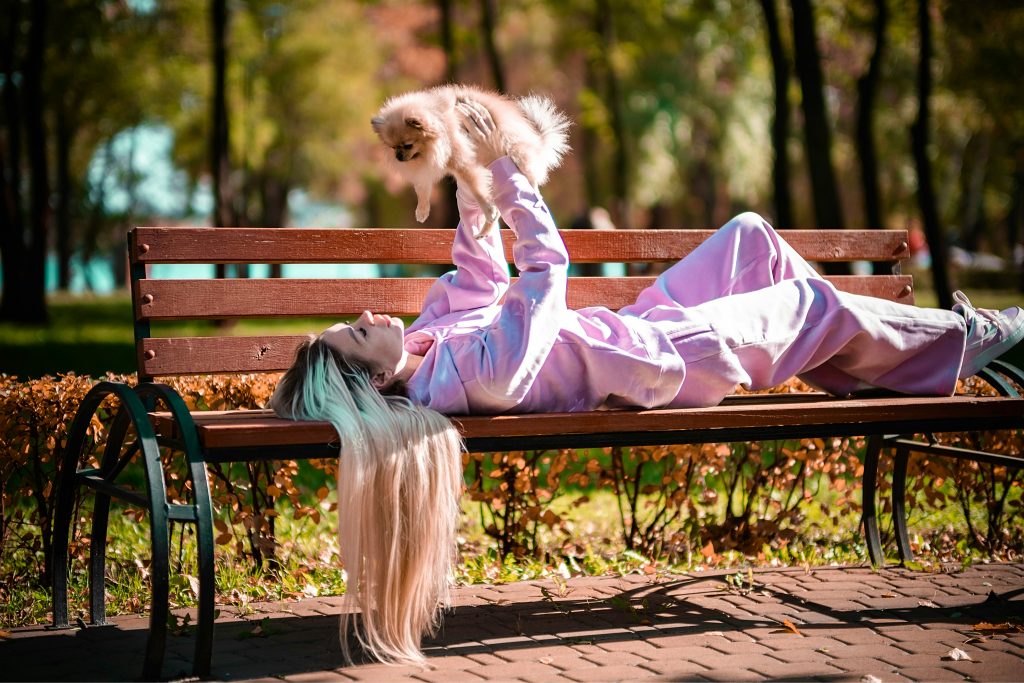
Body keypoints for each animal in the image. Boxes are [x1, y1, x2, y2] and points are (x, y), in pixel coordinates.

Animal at [372, 84, 573, 237]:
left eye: (407, 145)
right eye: (392, 147)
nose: (398, 157)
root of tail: (537, 139)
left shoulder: (462, 162)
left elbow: (478, 190)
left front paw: (488, 211)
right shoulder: (426, 169)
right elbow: (422, 190)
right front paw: (422, 211)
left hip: (517, 154)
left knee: (531, 182)